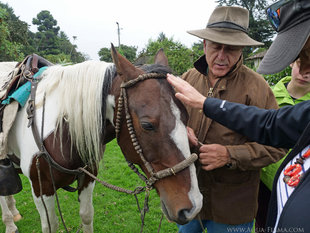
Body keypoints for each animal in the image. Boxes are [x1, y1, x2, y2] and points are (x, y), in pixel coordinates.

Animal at [0, 46, 203, 233]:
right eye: (147, 125)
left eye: (186, 116)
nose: (193, 206)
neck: (62, 130)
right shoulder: (41, 189)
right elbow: (51, 226)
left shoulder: (88, 176)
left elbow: (87, 215)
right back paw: (10, 223)